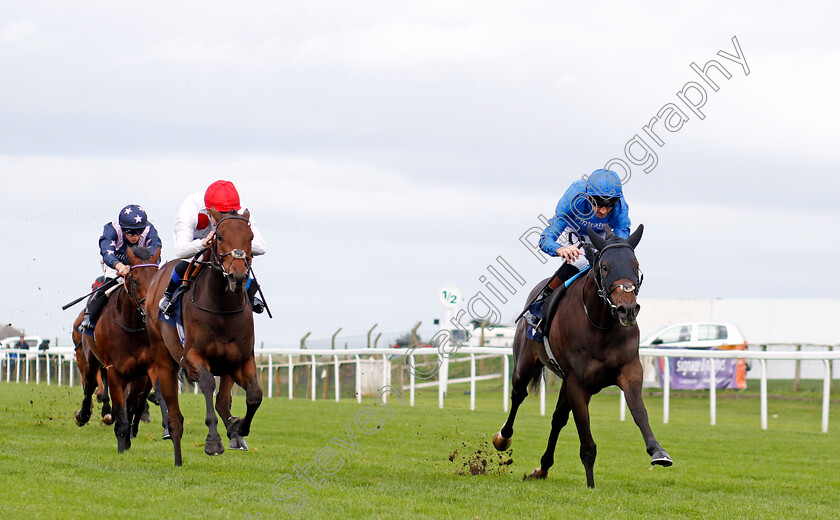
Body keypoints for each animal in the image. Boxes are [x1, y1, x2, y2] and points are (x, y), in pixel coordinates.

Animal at [79, 244, 163, 450]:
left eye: (156, 278)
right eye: (134, 279)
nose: (150, 310)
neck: (130, 326)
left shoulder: (144, 370)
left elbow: (133, 403)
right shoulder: (113, 370)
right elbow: (120, 407)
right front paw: (122, 439)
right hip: (90, 359)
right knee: (90, 385)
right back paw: (83, 415)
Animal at [145, 209, 262, 470]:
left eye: (250, 237)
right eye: (219, 236)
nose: (238, 276)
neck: (221, 309)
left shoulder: (240, 361)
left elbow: (254, 395)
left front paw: (239, 427)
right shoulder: (191, 357)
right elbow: (208, 383)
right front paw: (213, 441)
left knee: (223, 401)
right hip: (164, 360)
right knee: (175, 417)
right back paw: (177, 457)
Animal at [492, 223, 668, 488]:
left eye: (635, 265)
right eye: (605, 267)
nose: (627, 309)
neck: (600, 325)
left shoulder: (629, 371)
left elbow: (639, 412)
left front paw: (657, 451)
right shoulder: (578, 382)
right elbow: (585, 436)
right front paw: (591, 484)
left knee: (557, 418)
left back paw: (543, 467)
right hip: (524, 364)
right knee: (518, 396)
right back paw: (503, 438)